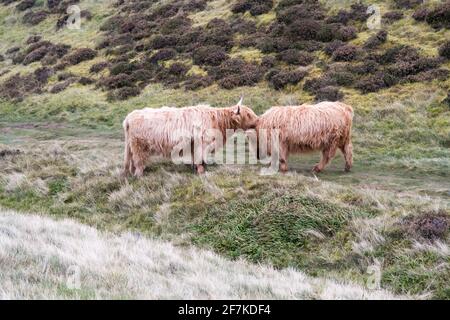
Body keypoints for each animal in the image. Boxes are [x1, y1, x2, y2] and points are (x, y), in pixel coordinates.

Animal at [123, 99, 258, 176]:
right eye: (248, 115)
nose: (258, 120)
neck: (217, 121)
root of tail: (129, 116)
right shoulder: (202, 142)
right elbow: (200, 157)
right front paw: (201, 171)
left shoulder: (194, 144)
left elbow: (195, 157)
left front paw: (196, 168)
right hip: (138, 144)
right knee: (138, 160)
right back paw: (139, 174)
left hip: (131, 145)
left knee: (130, 160)